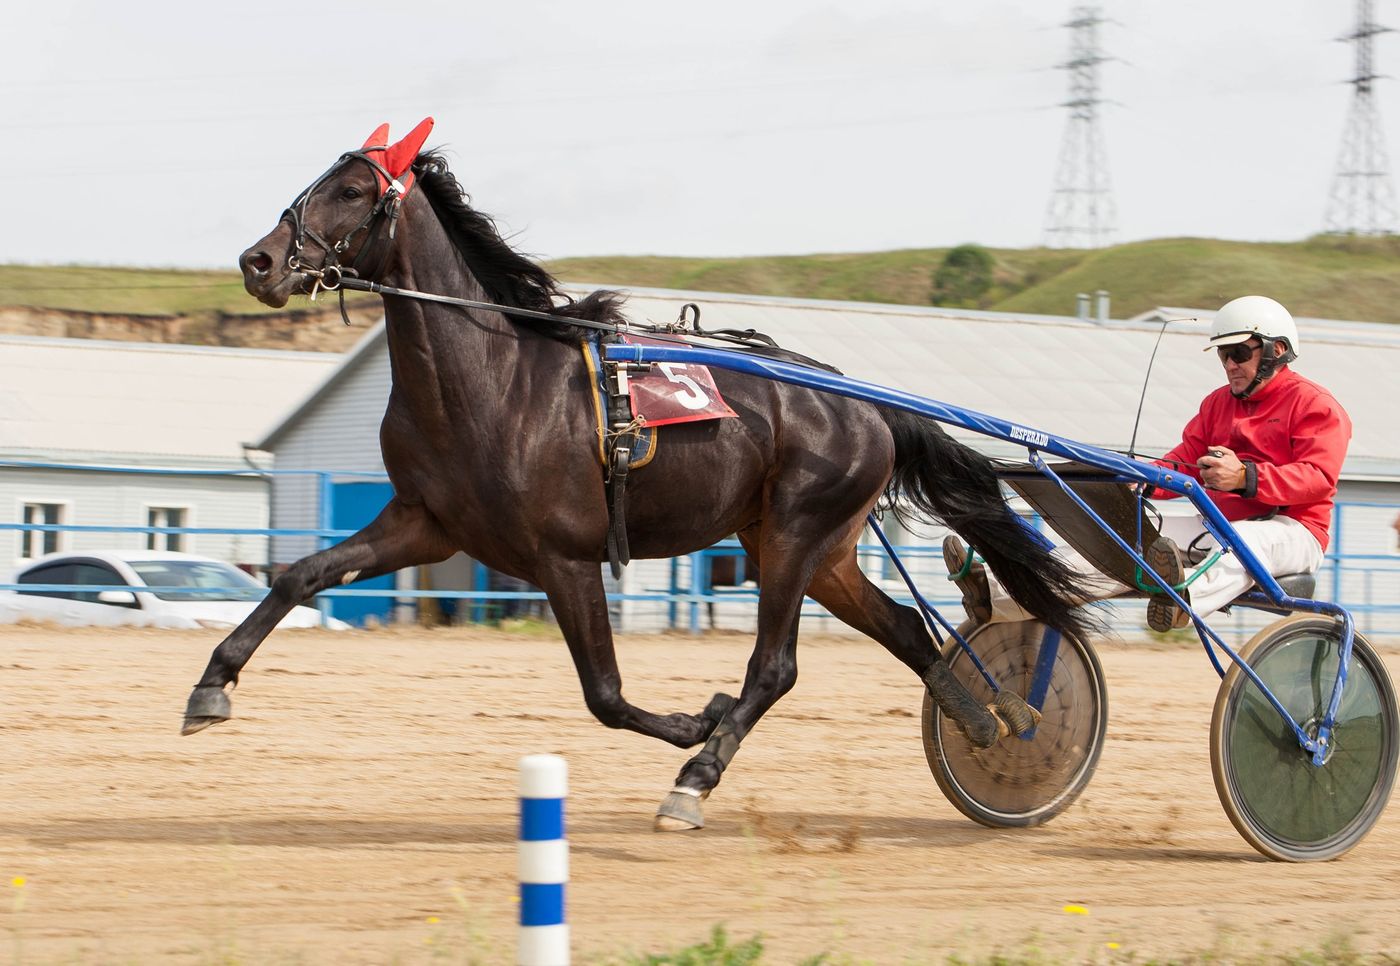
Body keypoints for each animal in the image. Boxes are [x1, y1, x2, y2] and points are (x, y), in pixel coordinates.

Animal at [186, 118, 1092, 828]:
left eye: (348, 190)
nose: (257, 262)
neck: (490, 377)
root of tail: (866, 403)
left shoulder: (564, 558)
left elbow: (606, 694)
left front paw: (697, 726)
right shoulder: (425, 523)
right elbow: (301, 574)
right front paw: (211, 686)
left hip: (796, 536)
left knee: (775, 668)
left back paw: (697, 779)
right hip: (811, 547)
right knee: (906, 630)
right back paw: (992, 720)